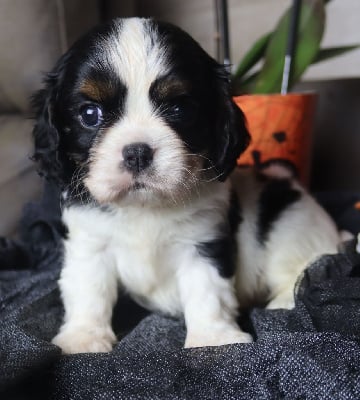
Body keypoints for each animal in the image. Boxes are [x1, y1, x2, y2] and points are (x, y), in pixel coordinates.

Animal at [32, 18, 342, 354]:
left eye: (179, 109)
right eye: (90, 114)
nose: (137, 152)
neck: (144, 207)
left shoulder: (203, 241)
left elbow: (207, 291)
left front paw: (212, 339)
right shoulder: (90, 242)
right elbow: (88, 288)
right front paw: (83, 337)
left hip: (289, 231)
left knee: (300, 270)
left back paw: (284, 302)